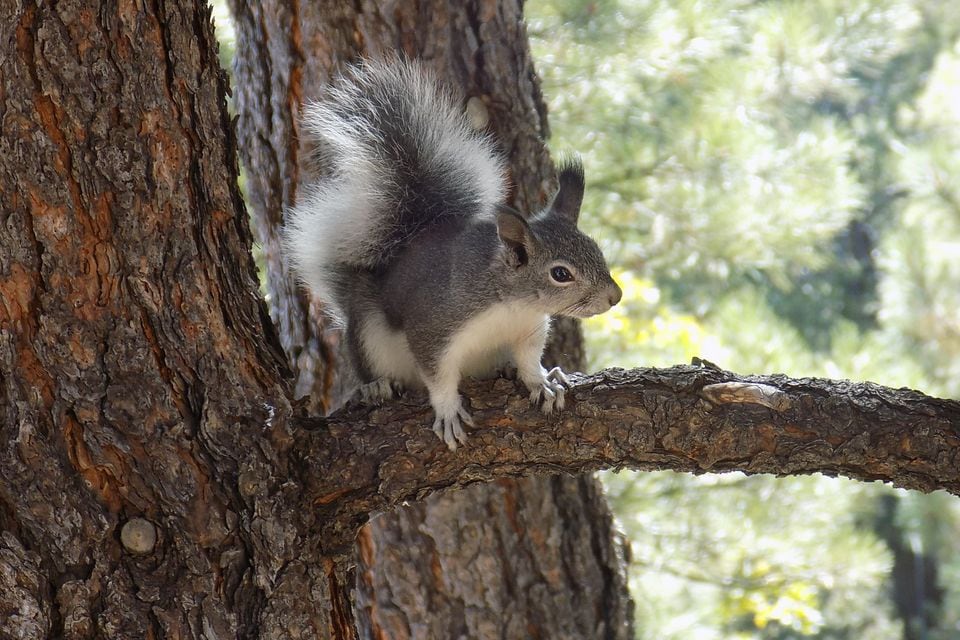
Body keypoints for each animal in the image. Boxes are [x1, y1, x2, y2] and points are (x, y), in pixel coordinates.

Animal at [284, 59, 622, 450]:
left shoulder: (527, 331)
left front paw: (540, 381)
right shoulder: (434, 327)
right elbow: (438, 377)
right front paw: (447, 412)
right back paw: (376, 386)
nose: (615, 296)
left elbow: (527, 360)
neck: (511, 303)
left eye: (597, 250)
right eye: (561, 274)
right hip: (368, 334)